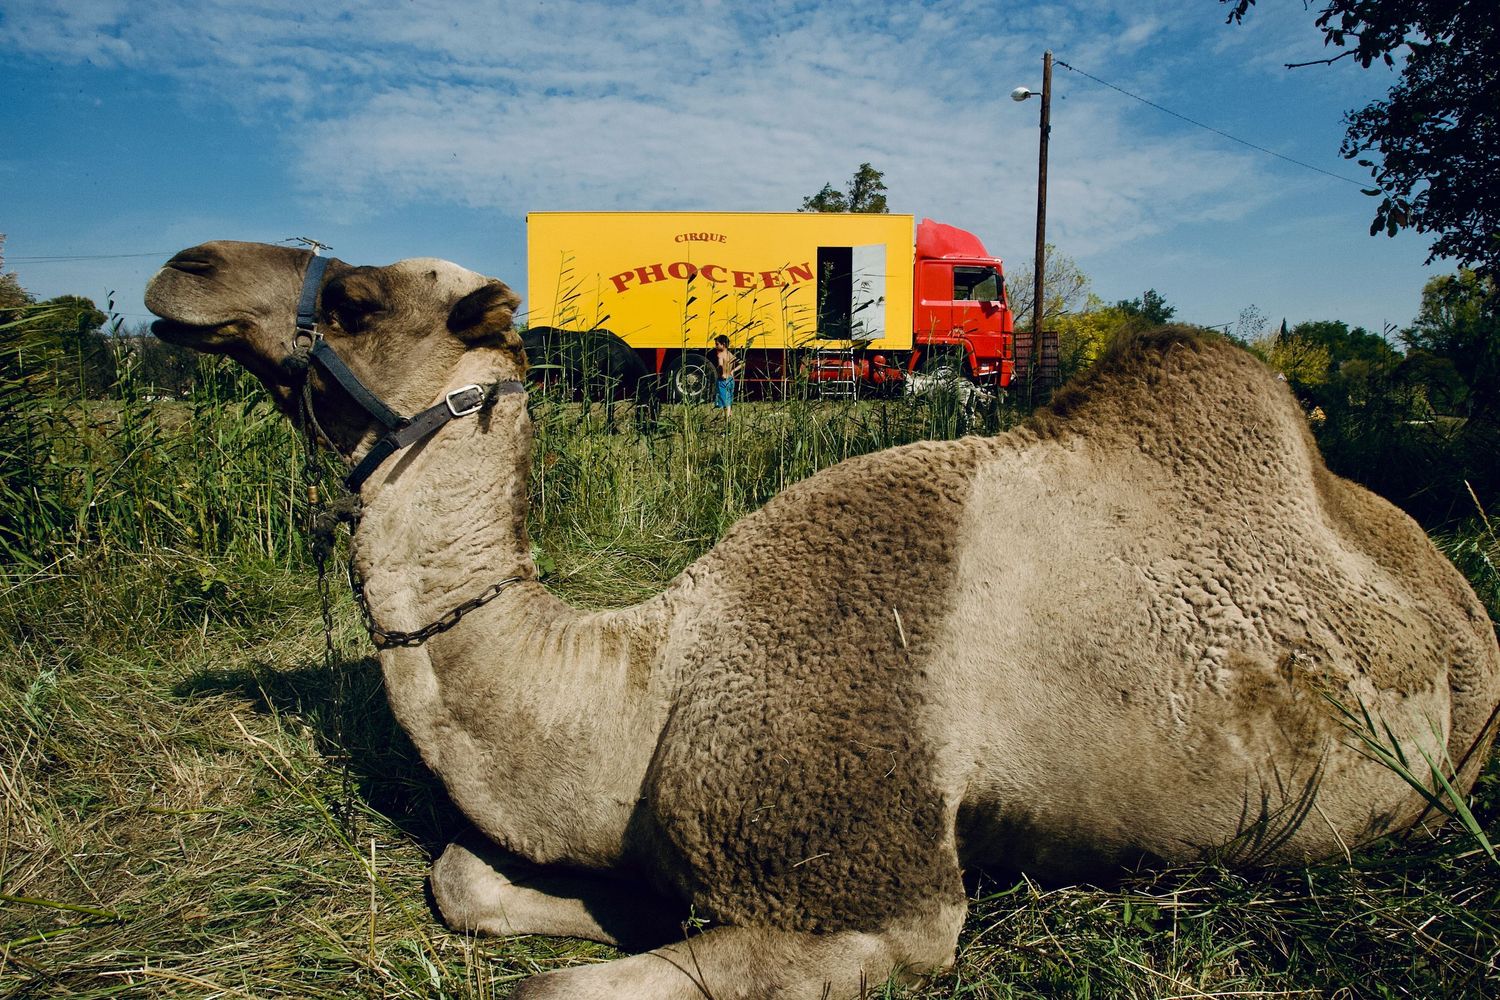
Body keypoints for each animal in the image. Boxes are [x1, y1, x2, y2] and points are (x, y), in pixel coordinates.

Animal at [146, 242, 1500, 999]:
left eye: (358, 299)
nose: (186, 266)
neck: (653, 682)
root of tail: (1454, 586)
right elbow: (463, 877)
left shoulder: (886, 904)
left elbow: (552, 987)